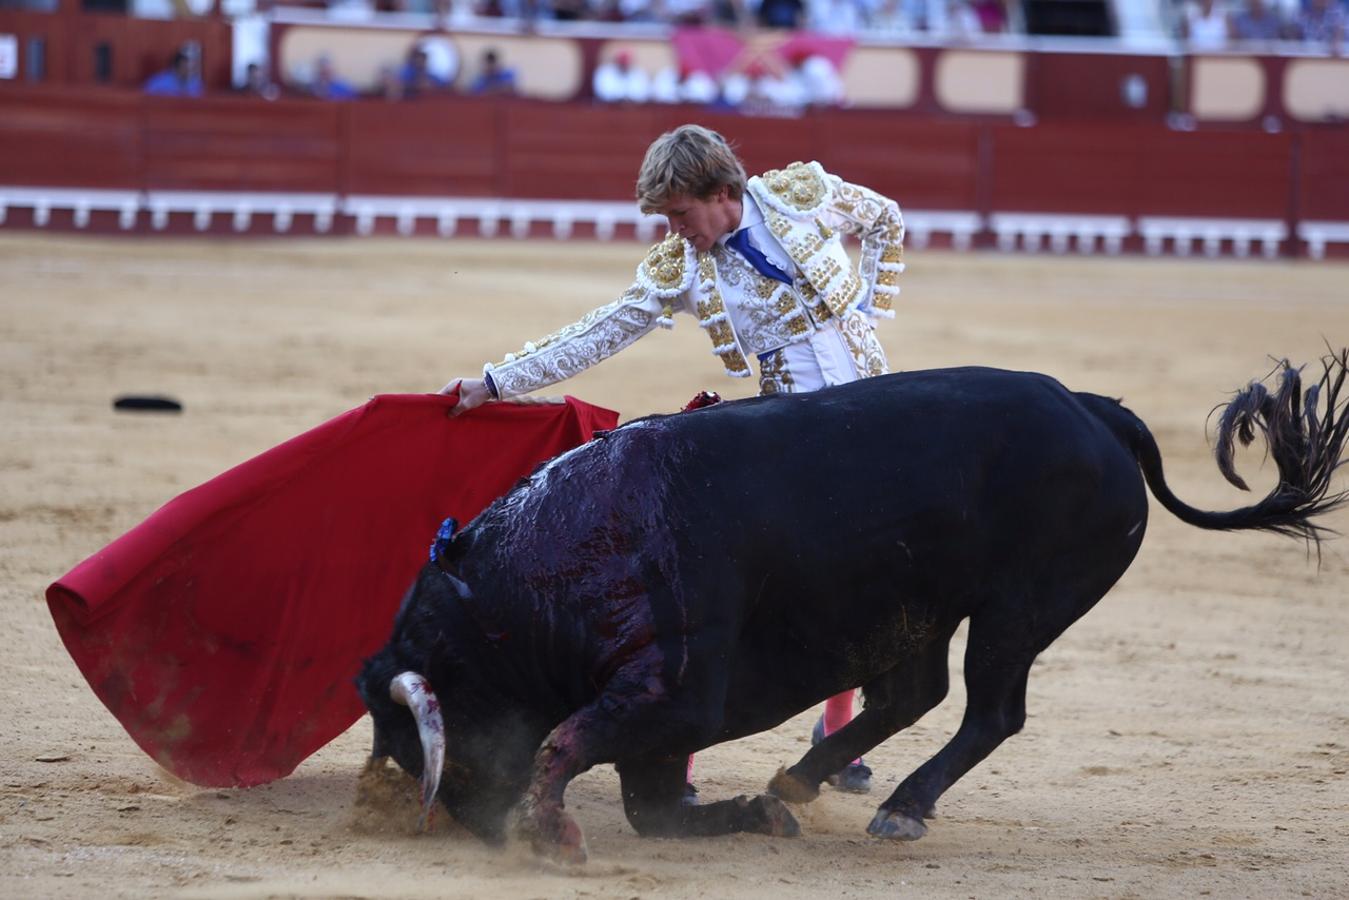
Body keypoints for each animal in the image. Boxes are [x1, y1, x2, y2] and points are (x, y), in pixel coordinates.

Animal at [358, 358, 1349, 863]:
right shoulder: (668, 713)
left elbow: (569, 742)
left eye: (424, 732)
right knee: (911, 695)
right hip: (913, 608)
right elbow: (647, 804)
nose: (474, 827)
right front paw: (750, 816)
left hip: (1020, 609)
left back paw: (902, 807)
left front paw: (554, 832)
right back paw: (796, 782)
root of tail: (1093, 406)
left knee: (991, 710)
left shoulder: (675, 687)